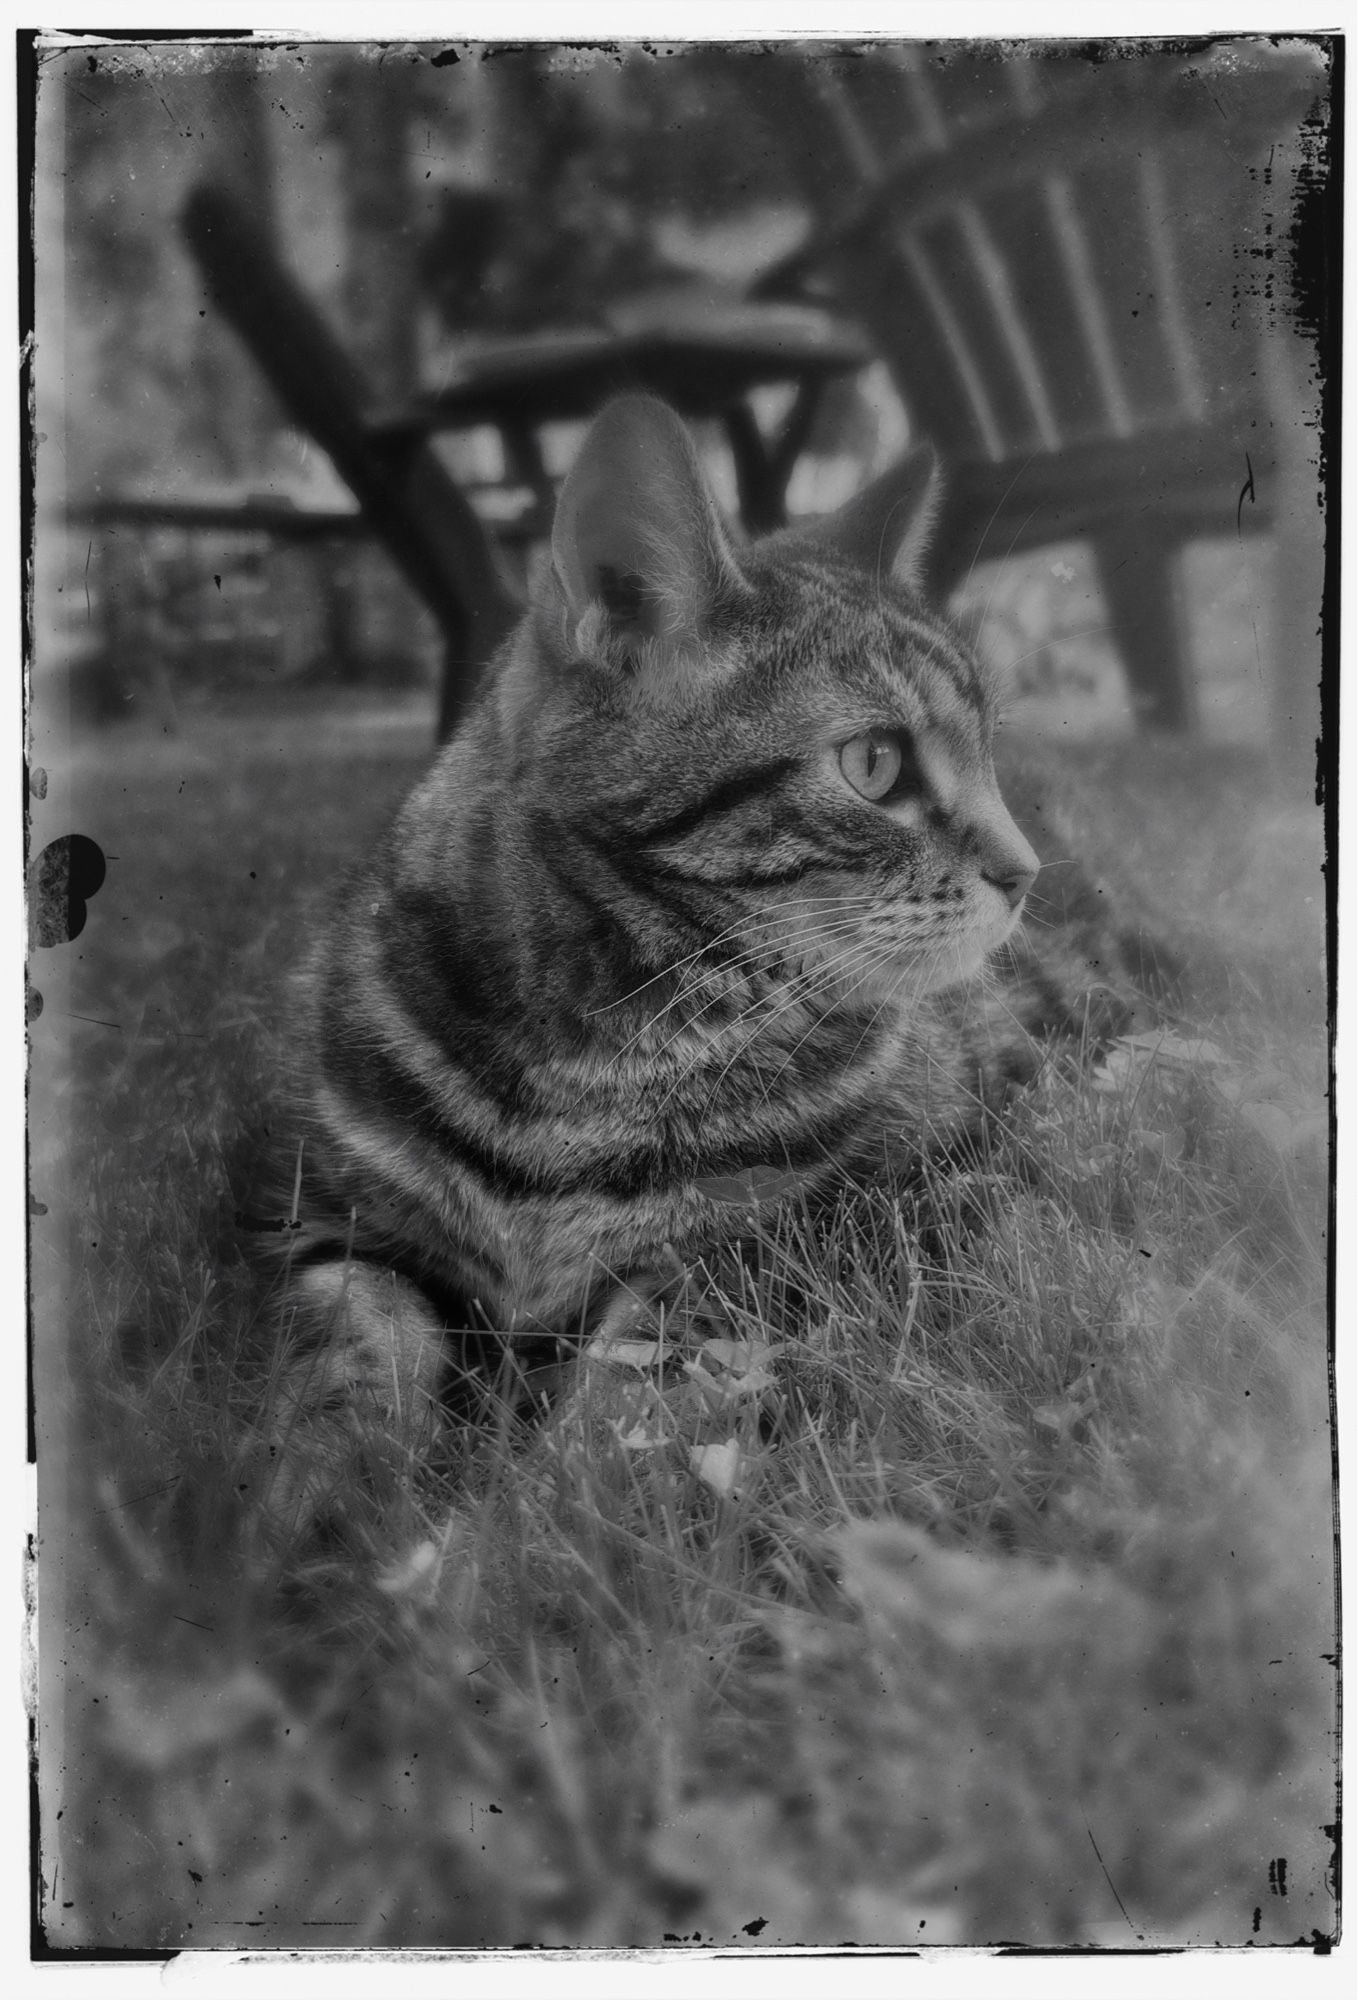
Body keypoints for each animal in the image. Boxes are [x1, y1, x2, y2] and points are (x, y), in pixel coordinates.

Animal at [252, 386, 1160, 1512]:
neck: (590, 1051)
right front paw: (320, 1505)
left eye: (987, 751)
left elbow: (631, 1398)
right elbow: (355, 1353)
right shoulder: (341, 1225)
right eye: (876, 762)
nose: (1021, 869)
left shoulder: (795, 1232)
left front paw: (515, 1520)